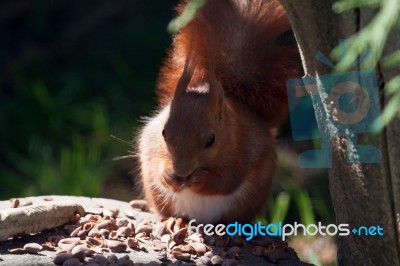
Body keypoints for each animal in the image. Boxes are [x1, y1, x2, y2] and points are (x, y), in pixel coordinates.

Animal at [138, 0, 296, 224]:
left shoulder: (242, 150)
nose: (181, 171)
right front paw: (168, 175)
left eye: (210, 140)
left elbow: (226, 180)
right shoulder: (152, 144)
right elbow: (157, 163)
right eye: (164, 133)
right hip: (156, 193)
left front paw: (199, 178)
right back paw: (172, 220)